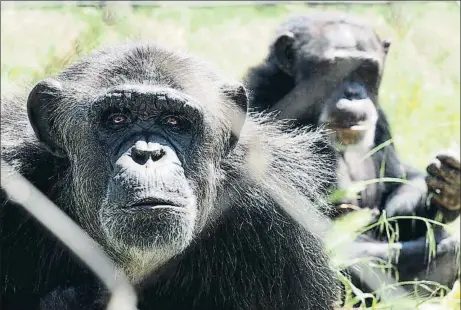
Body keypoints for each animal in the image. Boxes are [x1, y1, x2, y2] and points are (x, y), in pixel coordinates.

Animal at [243, 12, 458, 300]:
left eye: (366, 70)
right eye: (335, 70)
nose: (353, 93)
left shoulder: (382, 122)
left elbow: (398, 191)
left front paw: (448, 185)